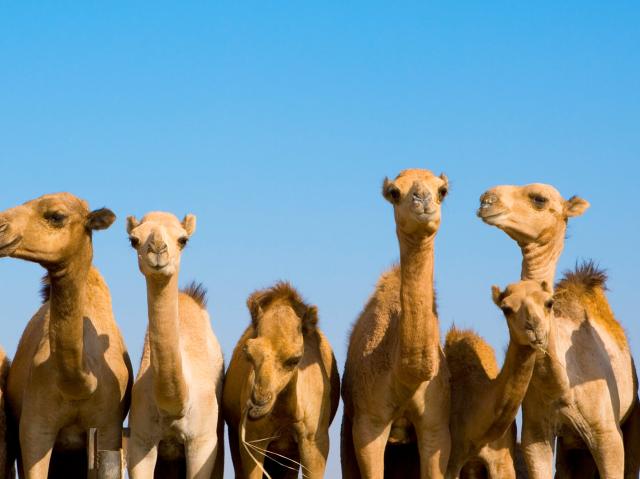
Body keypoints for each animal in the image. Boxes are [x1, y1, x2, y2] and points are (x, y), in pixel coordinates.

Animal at [478, 183, 640, 478]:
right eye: (506, 308)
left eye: (539, 199)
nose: (487, 200)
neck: (562, 384)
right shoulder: (536, 436)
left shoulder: (607, 434)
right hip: (571, 450)